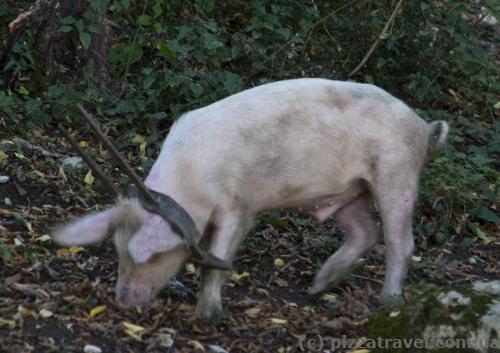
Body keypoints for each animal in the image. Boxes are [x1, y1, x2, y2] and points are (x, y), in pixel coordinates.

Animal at [53, 78, 450, 318]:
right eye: (118, 250)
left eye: (154, 257)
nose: (123, 302)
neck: (192, 184)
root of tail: (422, 124)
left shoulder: (238, 206)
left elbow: (219, 256)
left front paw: (206, 316)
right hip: (351, 191)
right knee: (364, 232)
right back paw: (314, 288)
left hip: (397, 173)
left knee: (400, 242)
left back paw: (388, 302)